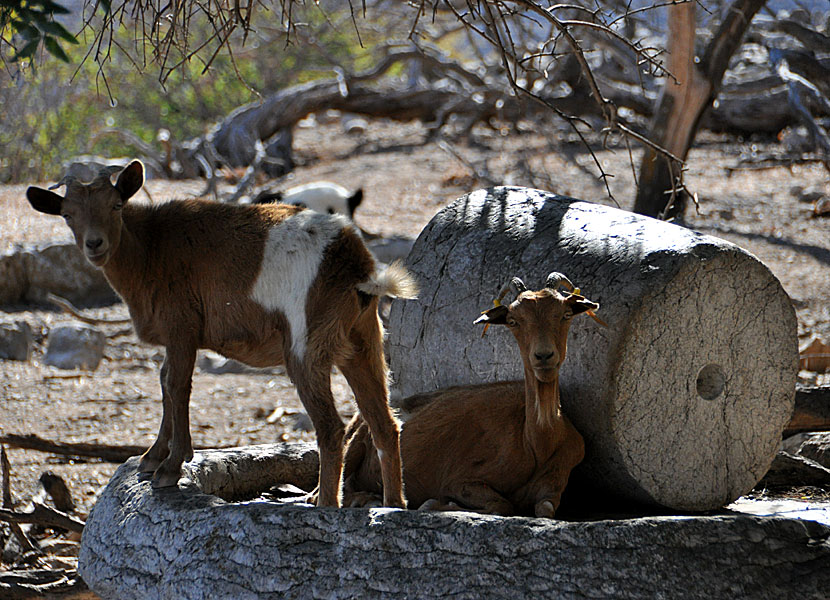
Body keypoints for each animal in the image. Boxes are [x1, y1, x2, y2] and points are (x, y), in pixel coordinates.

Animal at [26, 159, 420, 506]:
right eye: (67, 214)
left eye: (116, 205)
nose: (95, 245)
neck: (151, 248)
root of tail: (357, 266)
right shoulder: (175, 336)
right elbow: (165, 380)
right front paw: (152, 458)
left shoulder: (182, 327)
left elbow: (177, 385)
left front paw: (170, 467)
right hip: (363, 342)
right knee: (384, 424)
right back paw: (393, 504)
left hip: (305, 346)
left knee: (331, 428)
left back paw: (325, 503)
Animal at [342, 274, 600, 516]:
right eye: (513, 321)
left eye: (565, 314)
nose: (544, 356)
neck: (538, 441)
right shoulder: (461, 479)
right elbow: (501, 504)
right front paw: (435, 504)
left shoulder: (554, 484)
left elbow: (544, 509)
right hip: (357, 440)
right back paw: (367, 499)